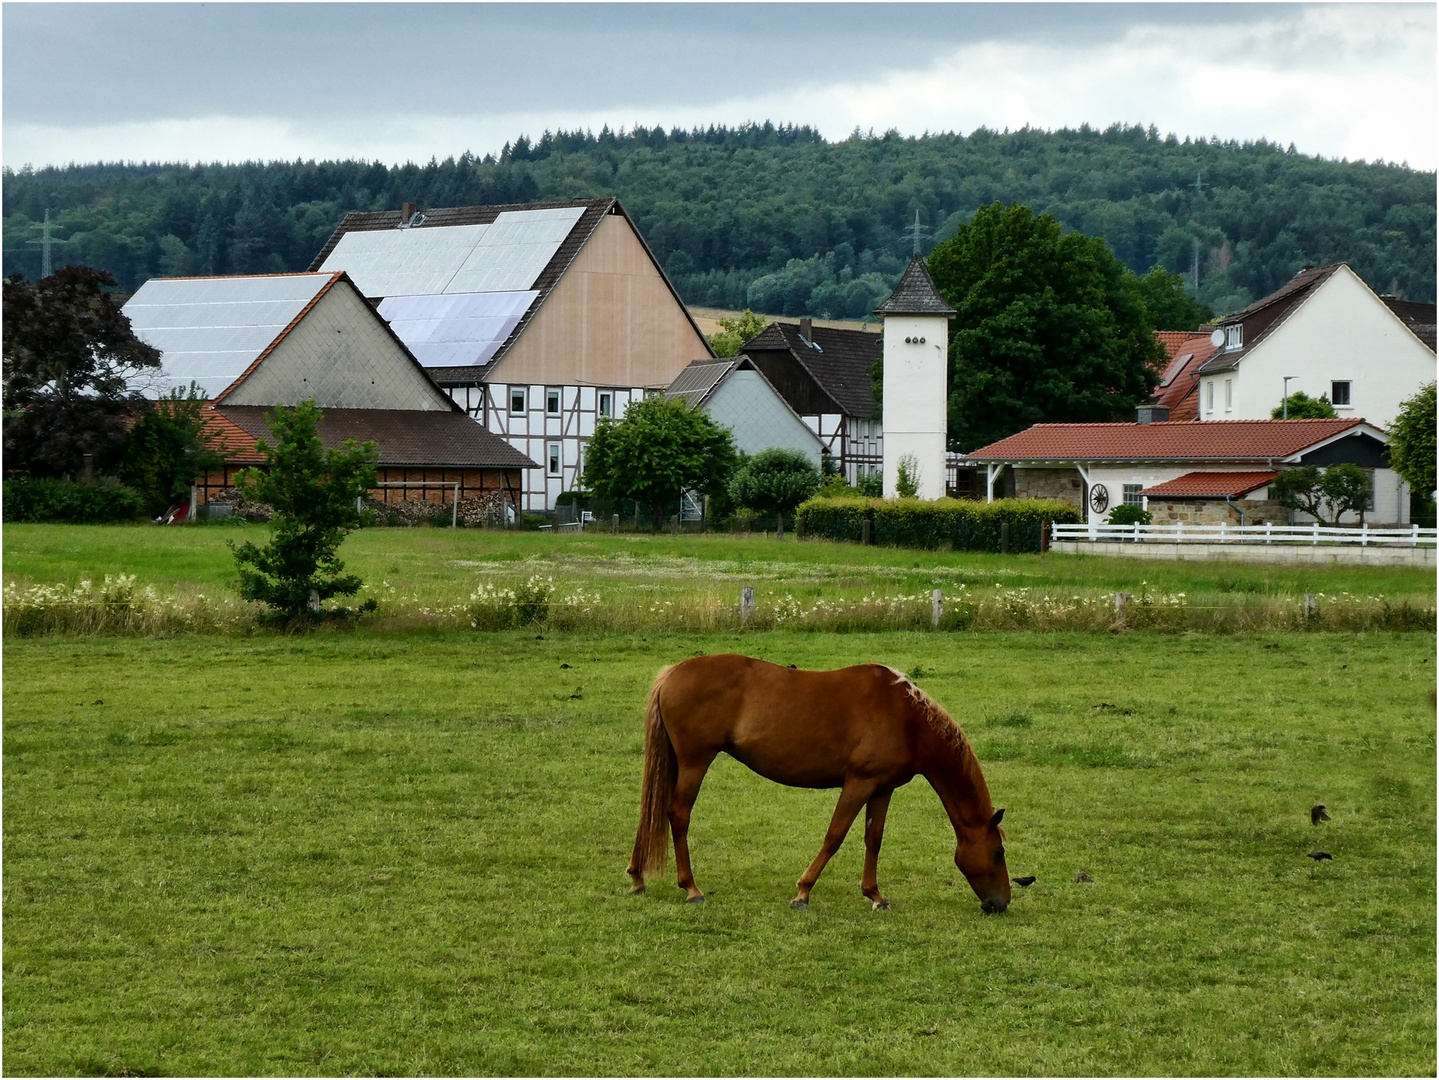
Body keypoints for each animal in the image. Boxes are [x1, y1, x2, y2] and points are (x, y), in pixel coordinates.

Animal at [624, 655, 1007, 914]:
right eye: (998, 852)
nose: (1001, 902)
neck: (907, 718)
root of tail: (671, 674)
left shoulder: (882, 788)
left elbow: (873, 839)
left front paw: (875, 895)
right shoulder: (858, 783)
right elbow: (835, 836)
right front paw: (803, 893)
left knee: (652, 811)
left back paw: (637, 878)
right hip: (694, 763)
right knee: (678, 815)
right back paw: (691, 888)